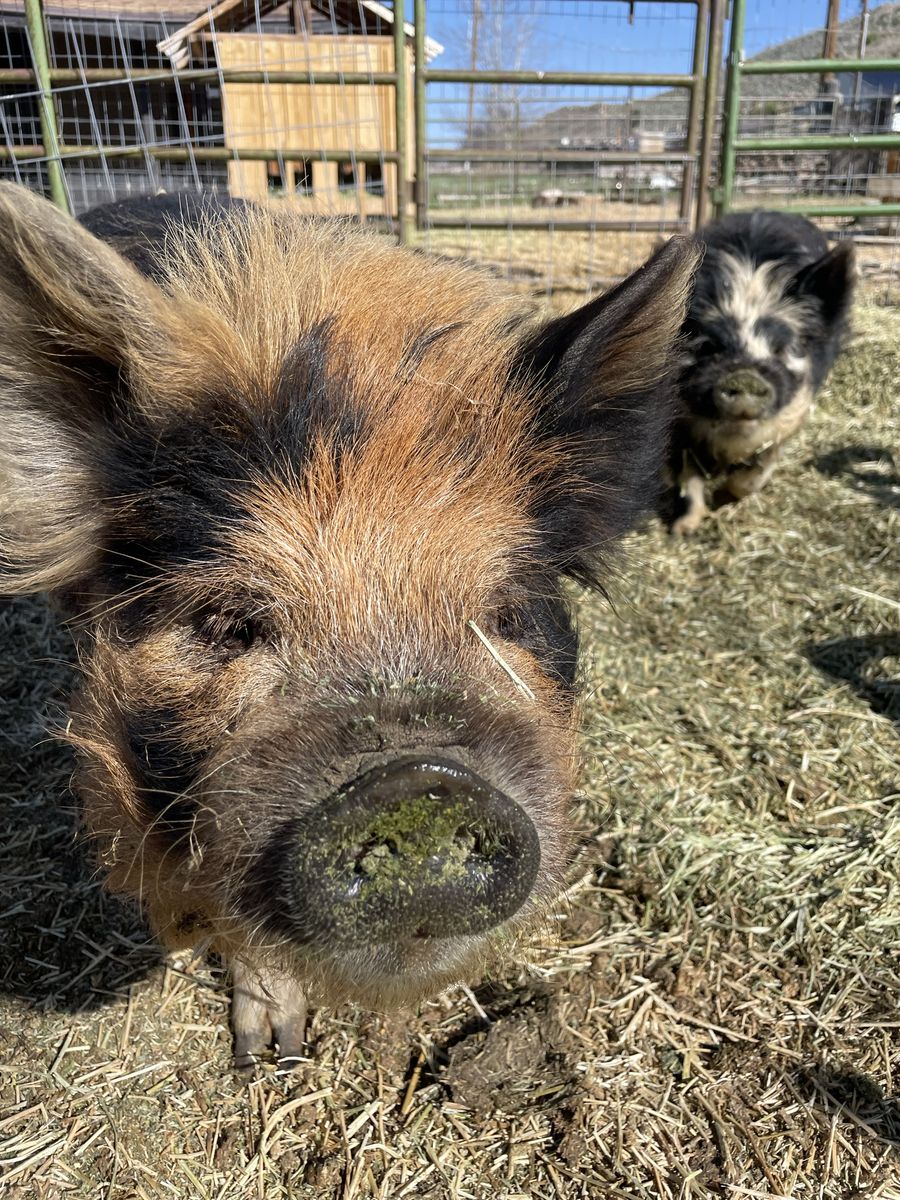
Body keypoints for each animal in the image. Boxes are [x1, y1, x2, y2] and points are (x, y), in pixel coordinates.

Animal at [669, 210, 855, 535]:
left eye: (782, 348)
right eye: (707, 346)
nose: (744, 376)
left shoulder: (791, 416)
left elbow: (756, 474)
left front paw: (722, 499)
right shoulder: (682, 426)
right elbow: (689, 479)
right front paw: (682, 532)